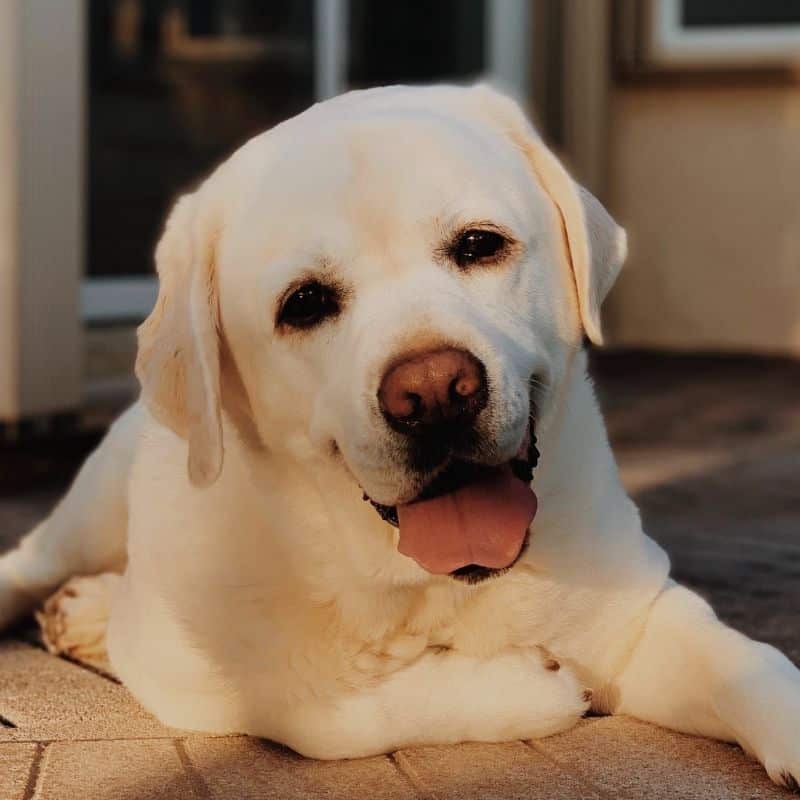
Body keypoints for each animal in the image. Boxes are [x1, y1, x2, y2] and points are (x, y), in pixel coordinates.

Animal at [0, 86, 796, 788]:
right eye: (304, 303)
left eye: (479, 245)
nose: (436, 393)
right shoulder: (193, 671)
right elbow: (322, 712)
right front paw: (533, 686)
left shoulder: (635, 614)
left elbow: (751, 663)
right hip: (92, 511)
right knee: (34, 562)